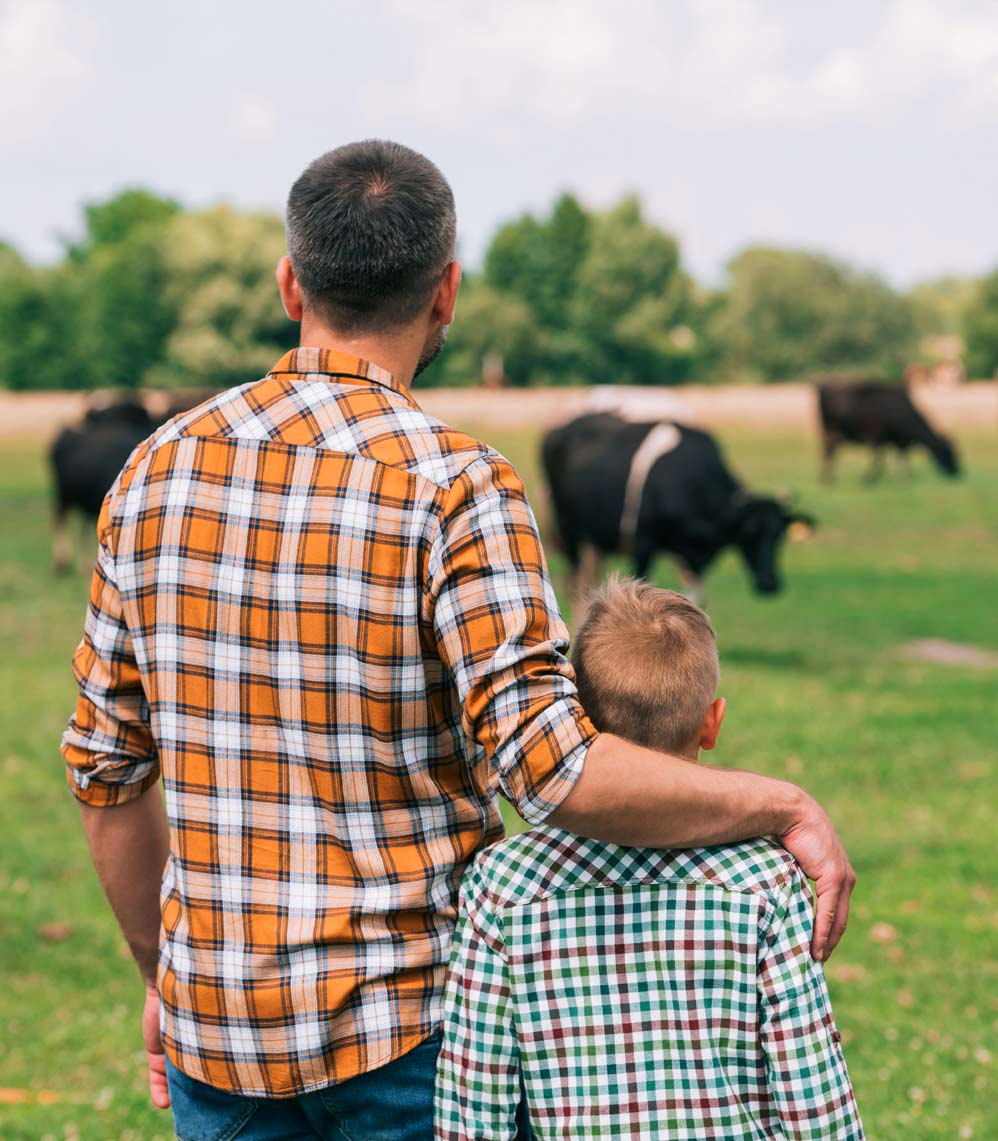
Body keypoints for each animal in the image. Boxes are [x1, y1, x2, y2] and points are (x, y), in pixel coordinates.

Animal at [538, 413, 812, 616]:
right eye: (748, 533)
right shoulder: (644, 543)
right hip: (570, 533)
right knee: (575, 587)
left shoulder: (697, 558)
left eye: (779, 535)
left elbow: (696, 601)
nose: (770, 584)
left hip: (595, 542)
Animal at [816, 376, 962, 479]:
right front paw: (869, 479)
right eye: (949, 452)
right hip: (830, 431)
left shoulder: (895, 440)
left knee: (830, 451)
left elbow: (899, 458)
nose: (958, 473)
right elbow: (879, 458)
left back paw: (828, 479)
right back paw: (828, 479)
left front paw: (900, 478)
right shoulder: (878, 437)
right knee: (829, 451)